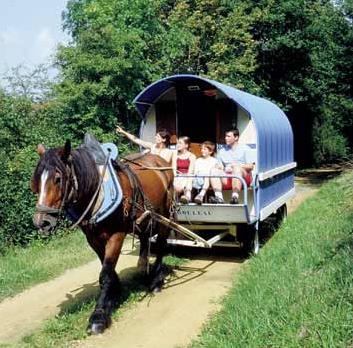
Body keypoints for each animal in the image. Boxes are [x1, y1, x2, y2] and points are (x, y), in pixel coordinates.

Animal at [30, 139, 173, 334]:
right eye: (37, 180)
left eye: (58, 179)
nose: (41, 222)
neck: (97, 191)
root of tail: (162, 162)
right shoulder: (93, 239)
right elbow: (107, 270)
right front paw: (114, 295)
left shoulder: (116, 235)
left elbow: (105, 273)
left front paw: (98, 315)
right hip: (145, 217)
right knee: (145, 238)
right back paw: (143, 269)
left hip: (165, 215)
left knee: (161, 244)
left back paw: (156, 281)